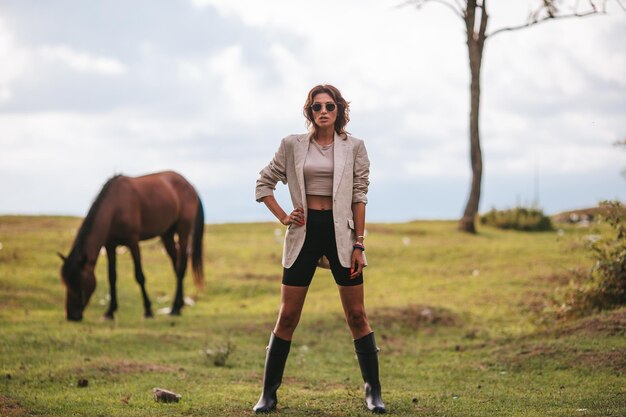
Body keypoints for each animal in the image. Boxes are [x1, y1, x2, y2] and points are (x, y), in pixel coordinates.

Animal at [60, 171, 204, 320]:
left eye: (79, 282)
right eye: (65, 283)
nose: (71, 316)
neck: (115, 206)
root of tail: (190, 186)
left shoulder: (133, 242)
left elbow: (139, 276)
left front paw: (148, 310)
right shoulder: (110, 246)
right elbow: (112, 277)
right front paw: (110, 312)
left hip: (183, 230)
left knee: (181, 267)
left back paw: (175, 308)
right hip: (167, 234)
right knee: (176, 265)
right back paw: (178, 305)